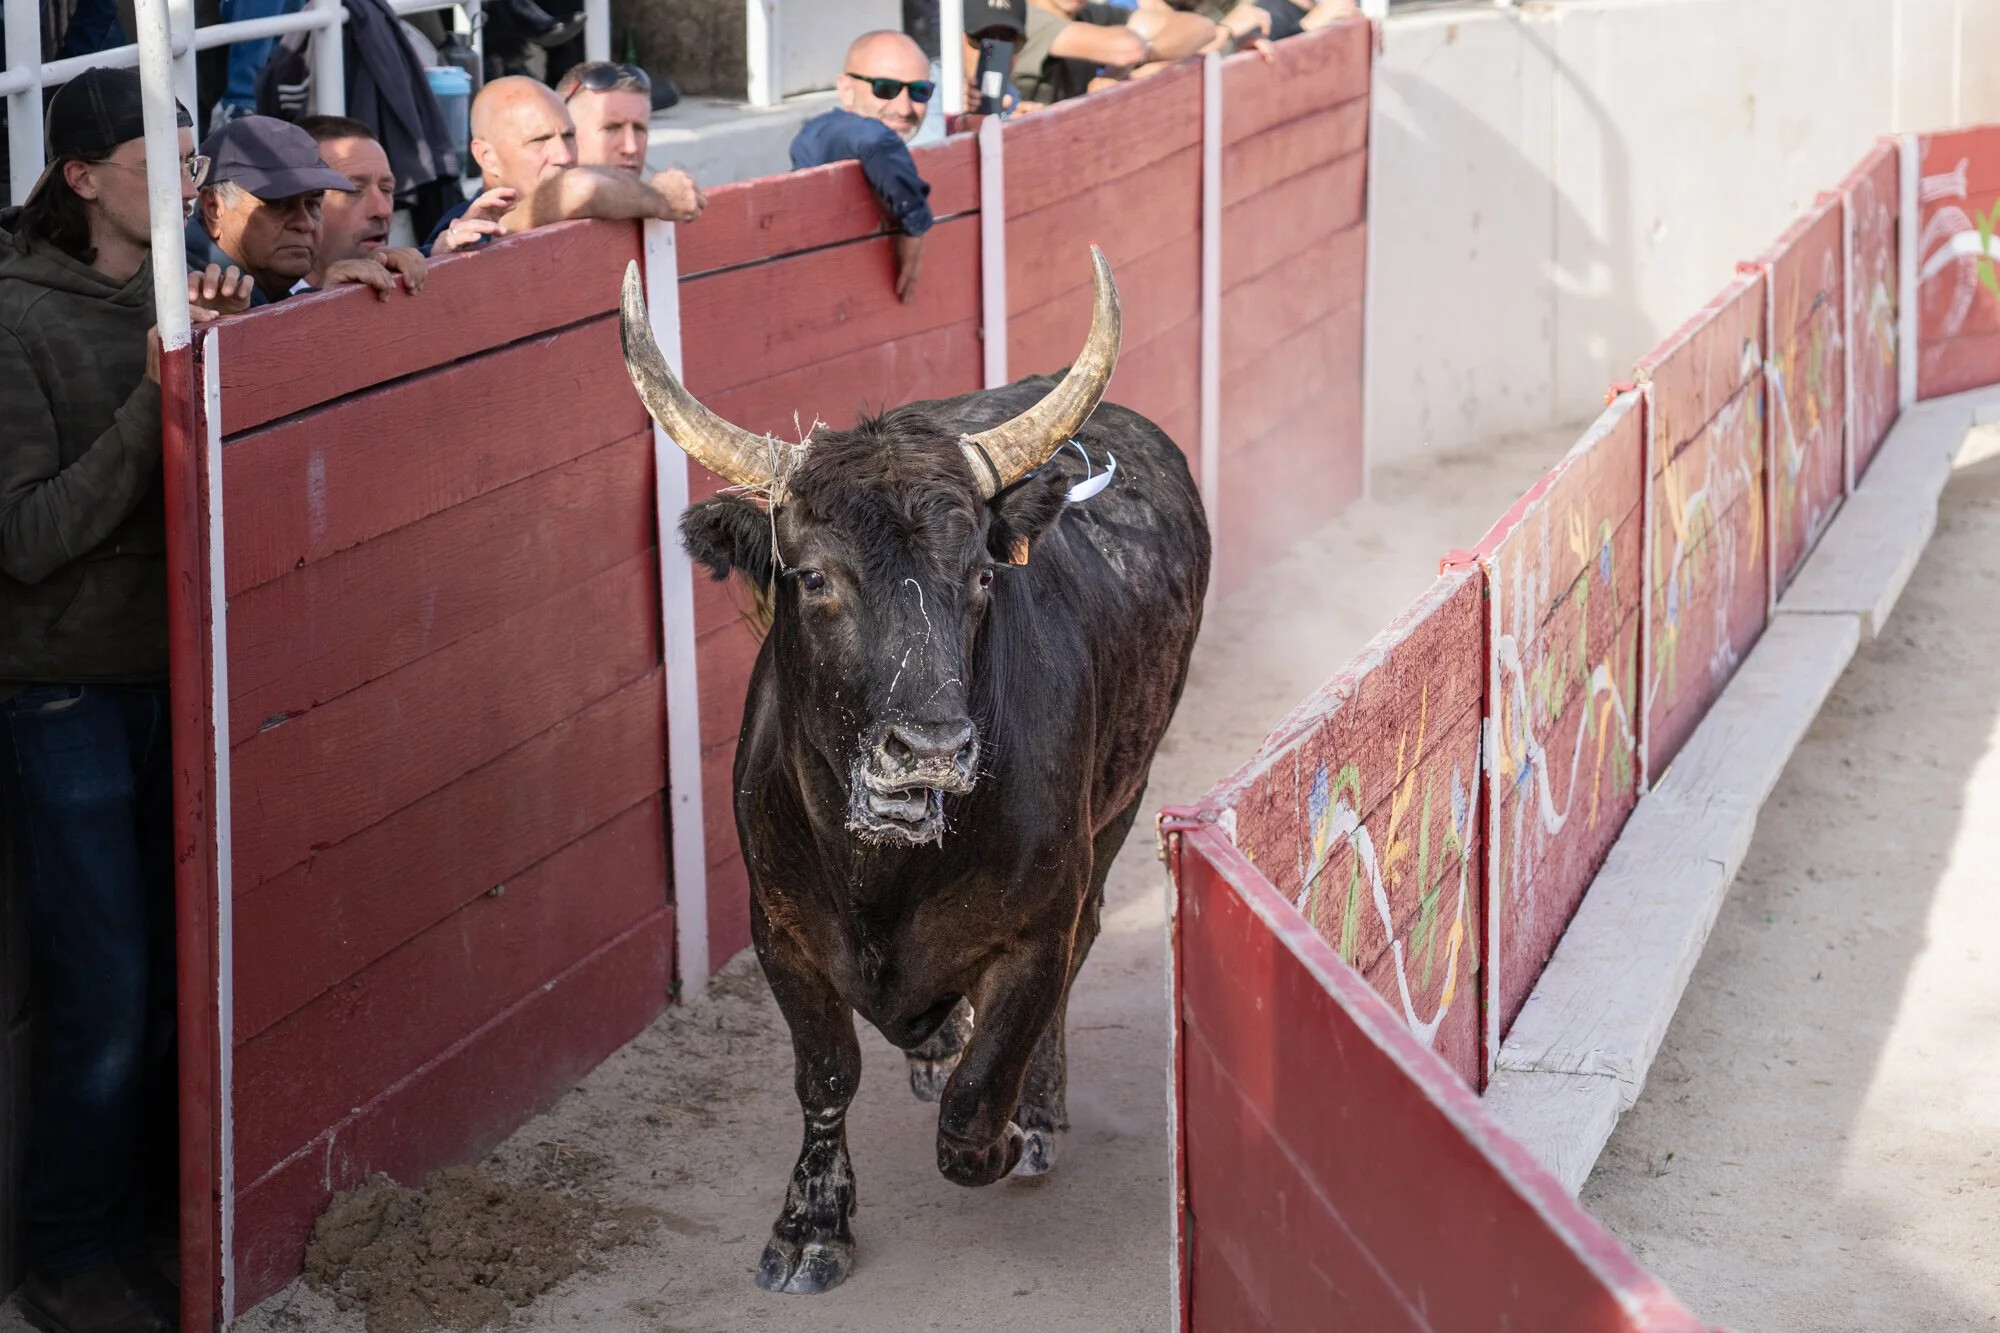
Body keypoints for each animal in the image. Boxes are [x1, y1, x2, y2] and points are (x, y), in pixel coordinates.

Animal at [618, 247, 1209, 1295]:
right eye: (814, 576)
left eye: (980, 574)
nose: (929, 750)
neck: (882, 872)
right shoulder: (780, 929)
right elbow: (826, 1072)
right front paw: (810, 1227)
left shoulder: (1038, 925)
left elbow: (975, 1108)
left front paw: (1012, 1126)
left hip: (1122, 805)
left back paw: (1034, 1107)